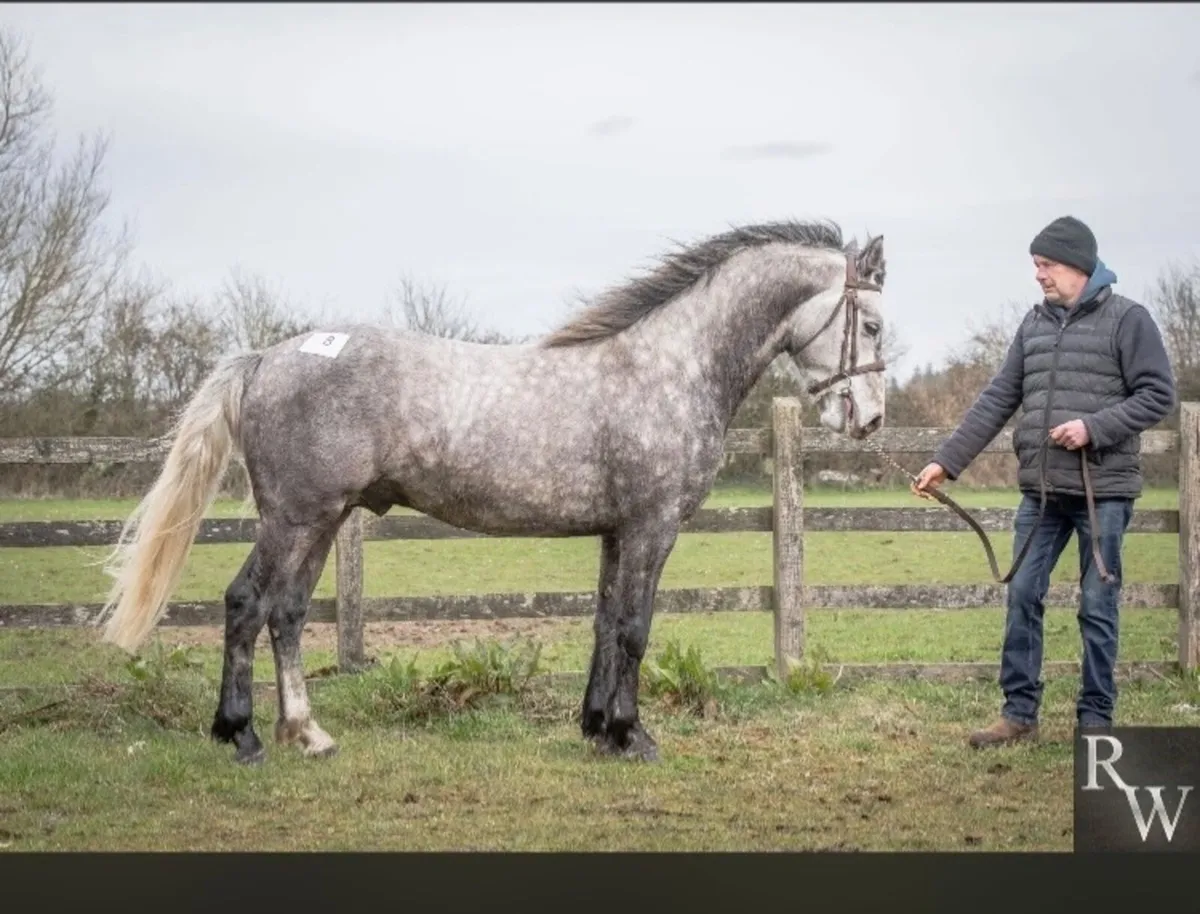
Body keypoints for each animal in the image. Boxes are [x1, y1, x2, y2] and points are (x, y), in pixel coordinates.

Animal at [96, 219, 888, 764]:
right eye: (875, 324)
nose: (871, 420)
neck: (669, 366)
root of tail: (267, 357)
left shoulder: (616, 532)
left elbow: (605, 624)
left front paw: (597, 728)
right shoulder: (652, 527)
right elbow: (635, 629)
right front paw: (633, 736)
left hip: (320, 521)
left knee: (285, 614)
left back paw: (308, 733)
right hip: (294, 518)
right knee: (245, 604)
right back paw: (244, 736)